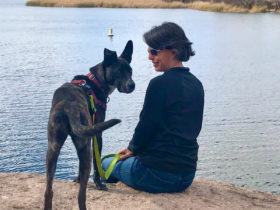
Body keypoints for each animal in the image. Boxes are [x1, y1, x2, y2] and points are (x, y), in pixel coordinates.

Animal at [43, 40, 135, 209]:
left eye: (130, 71)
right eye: (119, 72)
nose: (132, 85)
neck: (96, 81)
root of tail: (69, 107)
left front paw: (77, 179)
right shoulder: (96, 133)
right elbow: (97, 163)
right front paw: (99, 184)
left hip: (53, 147)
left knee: (48, 191)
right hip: (86, 147)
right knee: (81, 195)